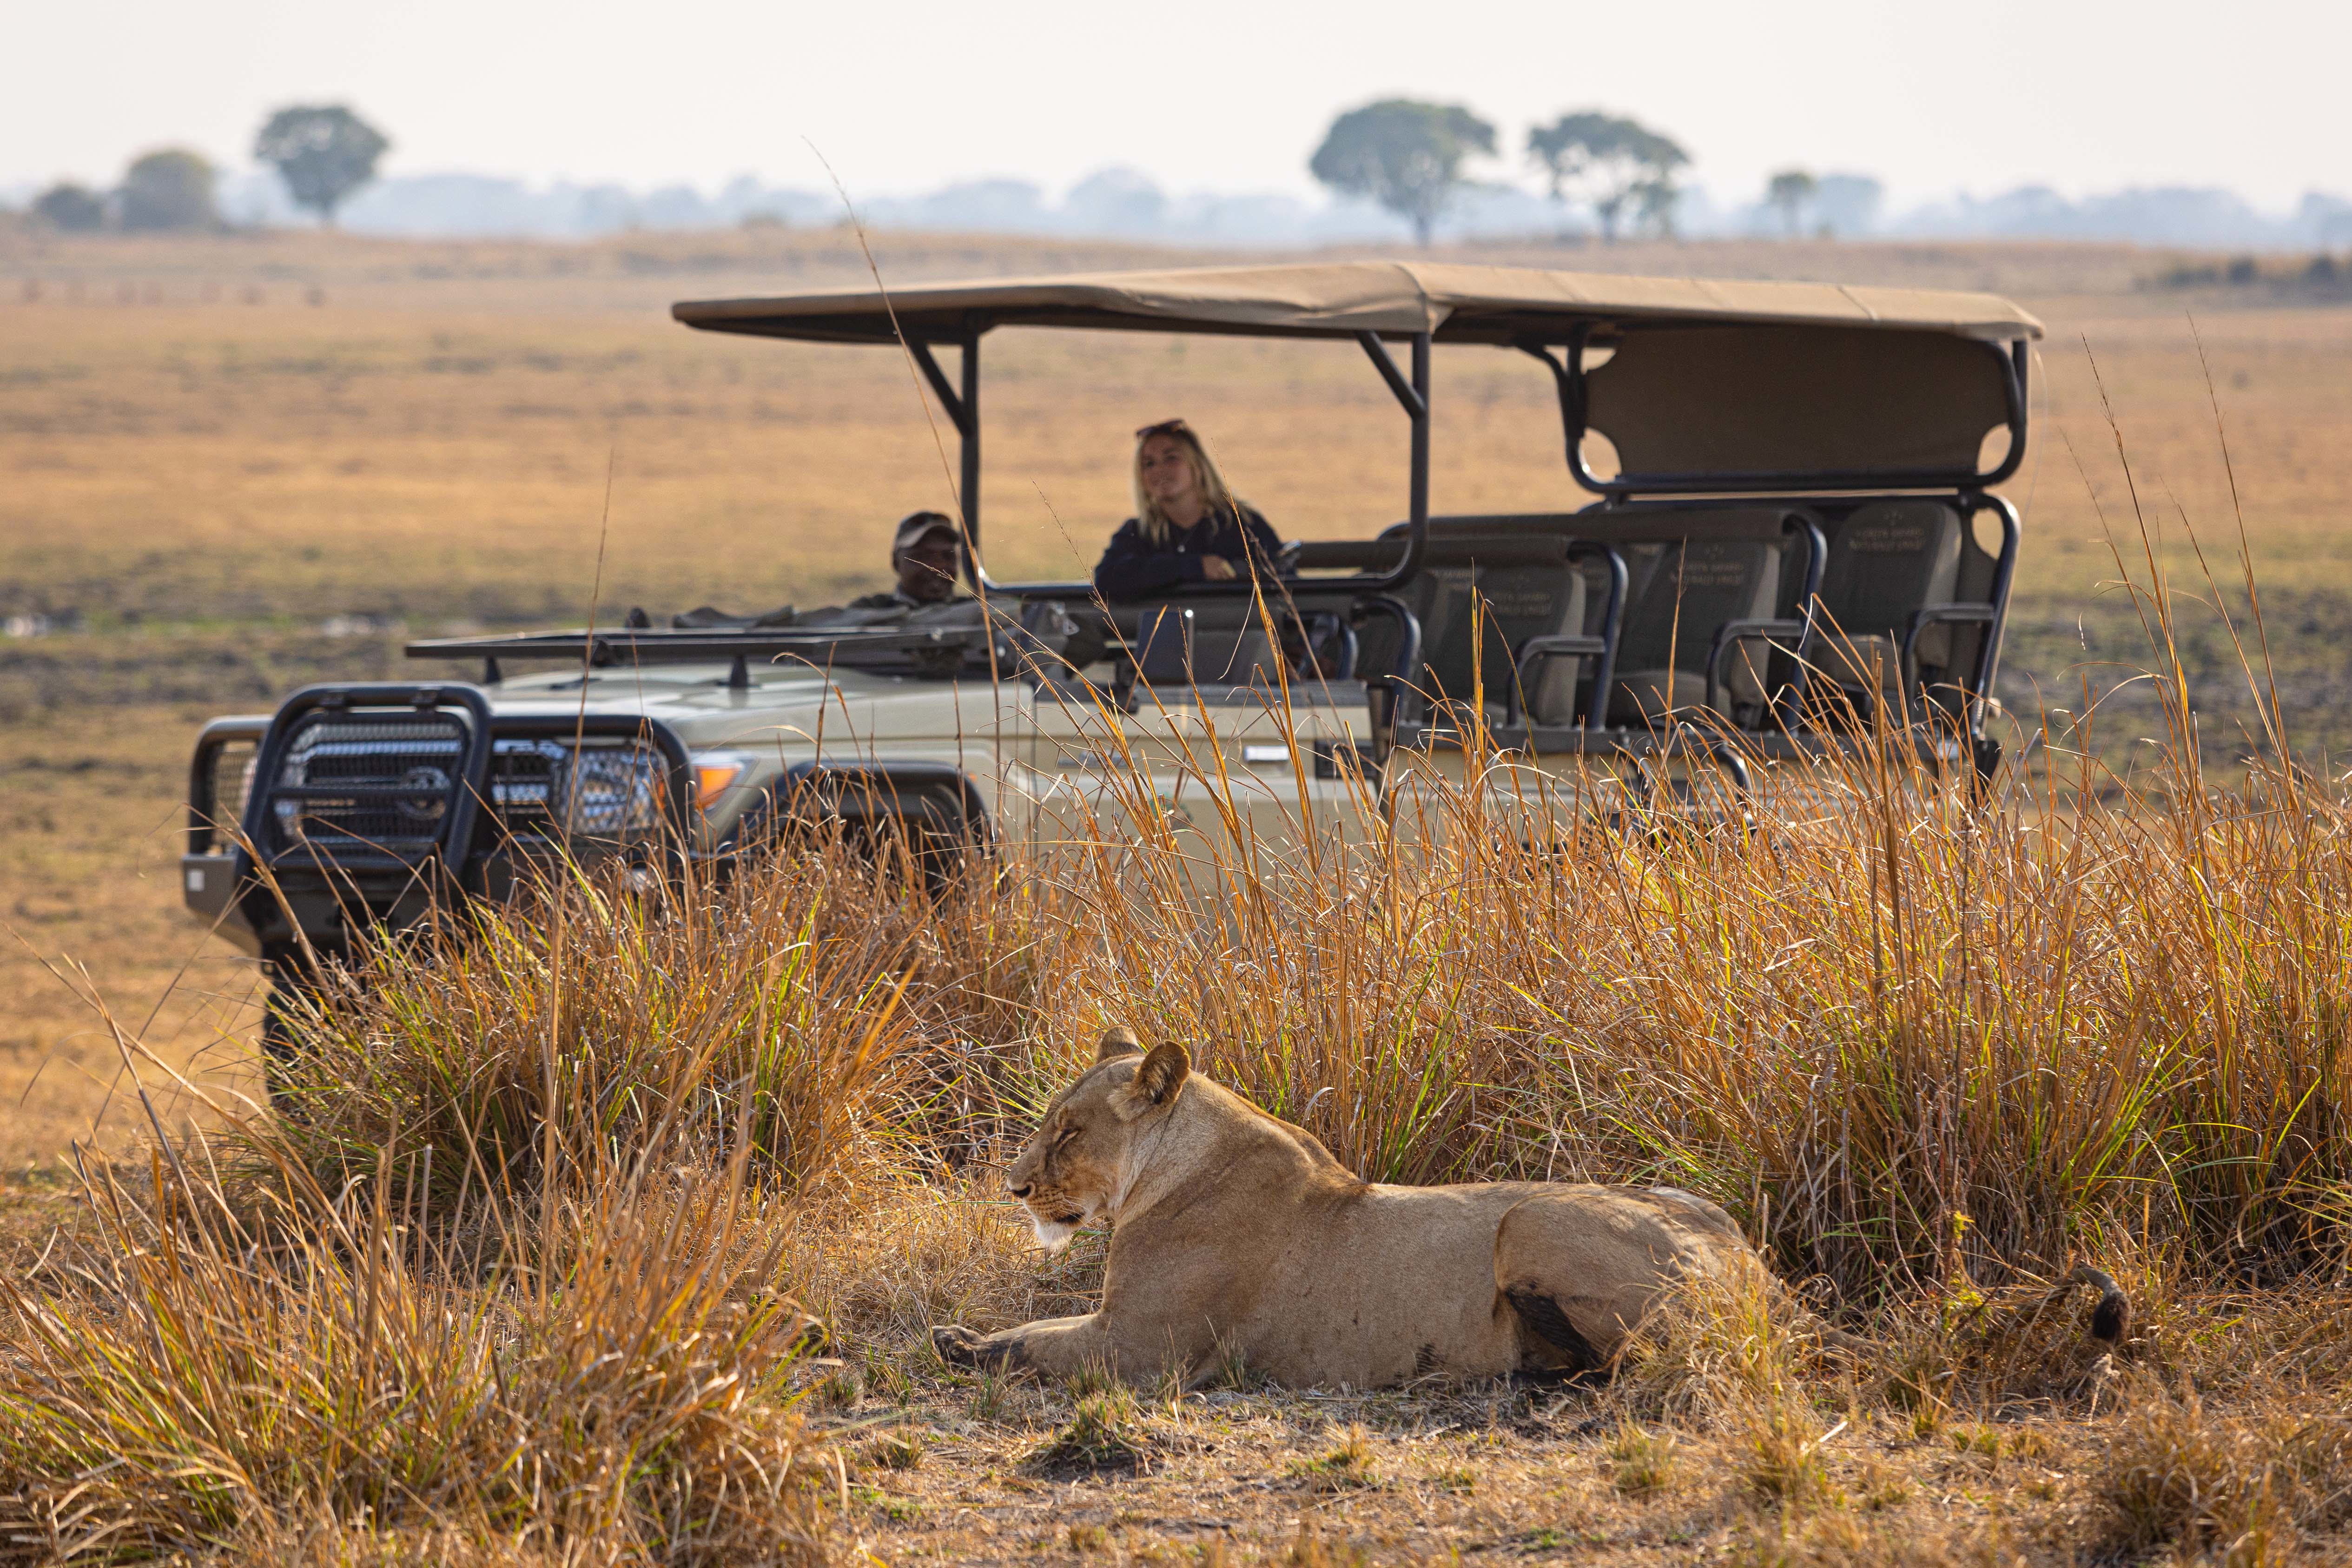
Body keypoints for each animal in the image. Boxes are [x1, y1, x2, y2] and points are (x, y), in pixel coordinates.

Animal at [933, 1030, 2129, 1389]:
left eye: (1065, 1131)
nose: (1012, 1187)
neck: (1170, 1165)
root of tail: (1756, 1264)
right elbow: (1029, 1326)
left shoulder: (1145, 1345)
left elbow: (1028, 1340)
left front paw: (955, 1341)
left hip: (1528, 1224)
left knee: (1679, 1357)